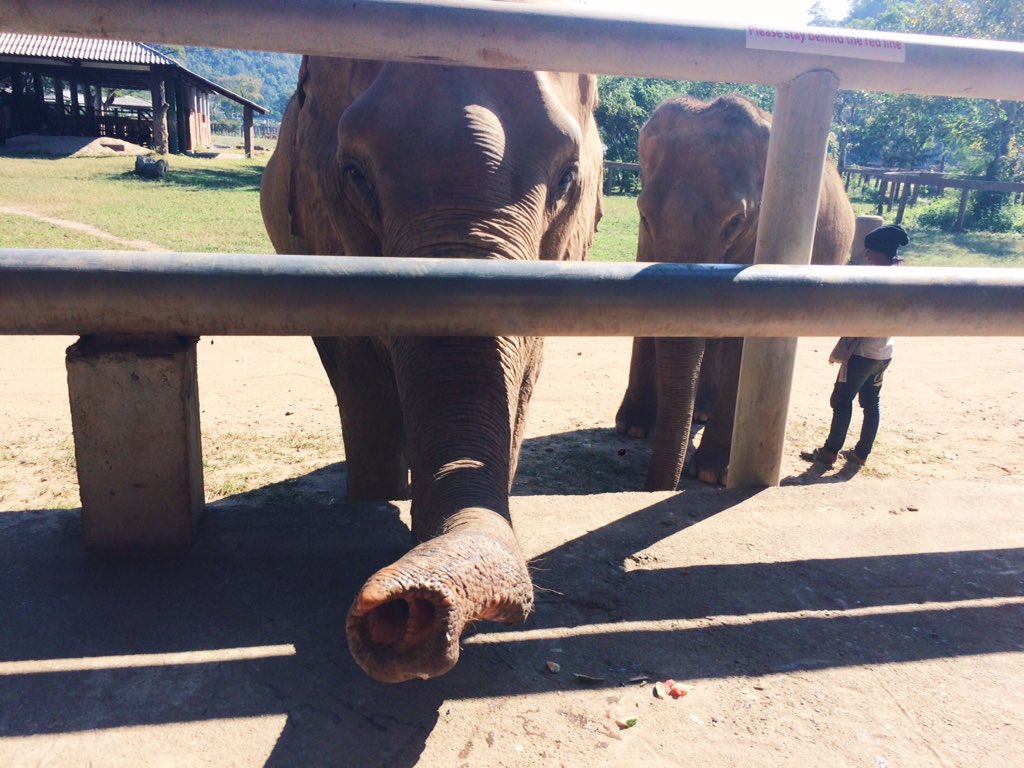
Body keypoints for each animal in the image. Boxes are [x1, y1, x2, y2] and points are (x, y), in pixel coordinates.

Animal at [259, 46, 603, 681]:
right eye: (354, 173)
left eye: (568, 177)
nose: (404, 606)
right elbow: (362, 380)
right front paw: (377, 501)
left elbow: (521, 382)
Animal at [614, 94, 855, 490]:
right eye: (644, 214)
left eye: (736, 221)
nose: (650, 487)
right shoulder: (646, 240)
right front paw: (632, 428)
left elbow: (746, 333)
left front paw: (711, 472)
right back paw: (699, 412)